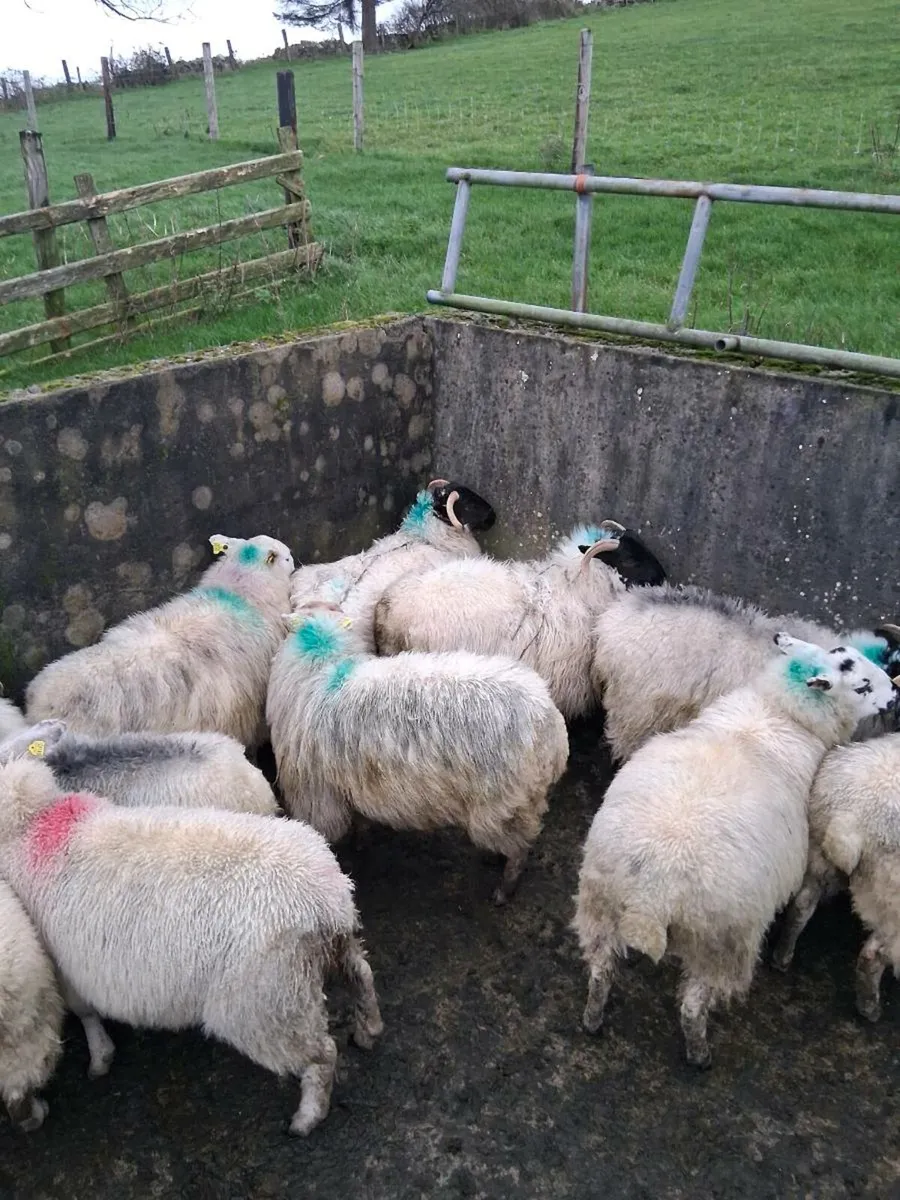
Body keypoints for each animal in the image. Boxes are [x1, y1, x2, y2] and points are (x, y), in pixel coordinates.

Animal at [267, 603, 569, 904]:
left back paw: (504, 889)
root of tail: (552, 728)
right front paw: (361, 839)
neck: (324, 665)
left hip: (503, 806)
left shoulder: (318, 797)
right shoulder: (349, 785)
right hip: (518, 805)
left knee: (519, 849)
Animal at [771, 726, 900, 1018]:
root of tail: (851, 819)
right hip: (890, 899)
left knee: (801, 907)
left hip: (818, 857)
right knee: (873, 955)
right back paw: (869, 1007)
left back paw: (782, 957)